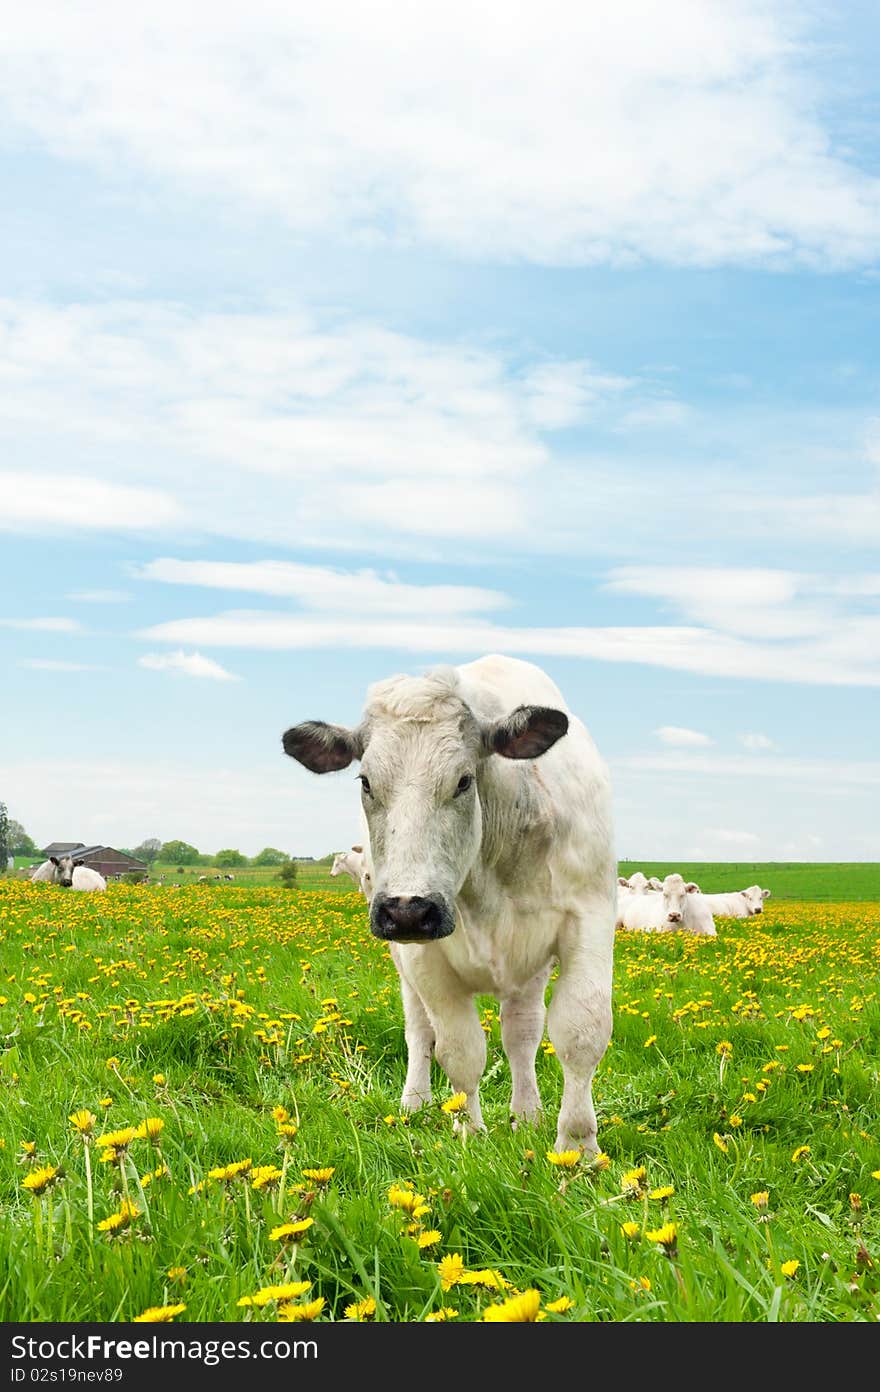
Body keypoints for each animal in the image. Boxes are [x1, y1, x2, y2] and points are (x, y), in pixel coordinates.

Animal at [285, 651, 615, 1152]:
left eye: (463, 780)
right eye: (365, 782)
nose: (407, 910)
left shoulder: (589, 918)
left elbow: (581, 1031)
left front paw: (577, 1146)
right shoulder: (422, 957)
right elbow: (459, 1049)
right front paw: (469, 1130)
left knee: (522, 1032)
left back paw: (527, 1114)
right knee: (420, 1032)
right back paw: (415, 1102)